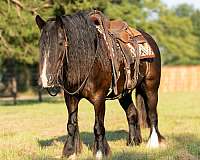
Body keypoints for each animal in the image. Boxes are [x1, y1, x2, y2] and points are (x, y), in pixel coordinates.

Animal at [35, 10, 165, 159]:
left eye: (61, 43)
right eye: (41, 45)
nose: (46, 79)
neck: (89, 60)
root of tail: (149, 39)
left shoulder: (99, 99)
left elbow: (98, 126)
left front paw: (100, 152)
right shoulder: (71, 97)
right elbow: (71, 124)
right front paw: (70, 152)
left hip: (151, 87)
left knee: (152, 114)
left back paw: (154, 143)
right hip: (124, 94)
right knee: (132, 113)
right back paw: (133, 142)